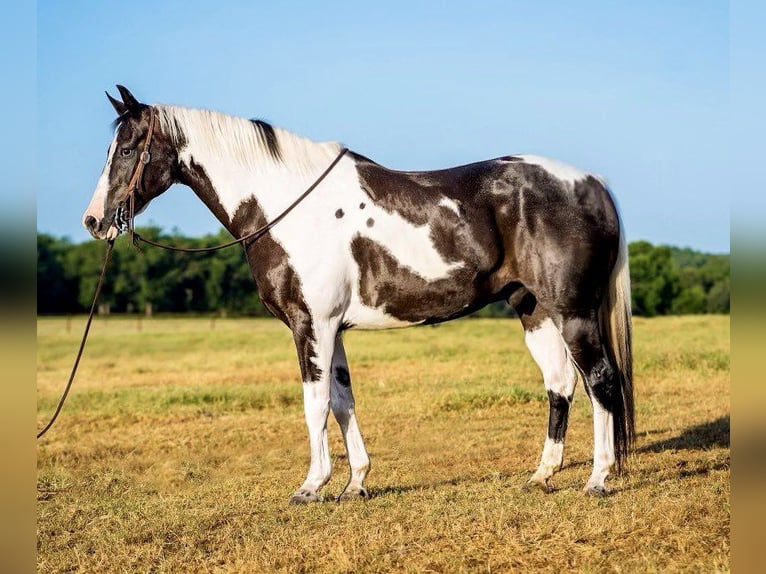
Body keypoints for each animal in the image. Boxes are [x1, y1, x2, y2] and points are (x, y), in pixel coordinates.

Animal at [84, 84, 636, 504]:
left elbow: (314, 403)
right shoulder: (334, 328)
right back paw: (542, 475)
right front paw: (355, 484)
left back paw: (598, 478)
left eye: (128, 150)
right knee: (560, 383)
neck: (286, 205)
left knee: (601, 380)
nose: (93, 221)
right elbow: (343, 400)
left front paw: (311, 486)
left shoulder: (311, 325)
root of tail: (593, 183)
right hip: (534, 309)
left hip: (573, 311)